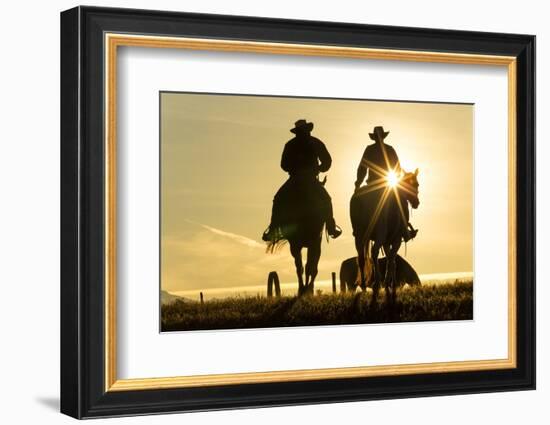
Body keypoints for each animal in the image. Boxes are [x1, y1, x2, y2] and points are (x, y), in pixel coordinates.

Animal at [352, 169, 420, 302]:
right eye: (416, 184)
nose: (416, 203)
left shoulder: (387, 242)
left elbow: (389, 259)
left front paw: (389, 283)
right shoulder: (395, 240)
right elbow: (392, 260)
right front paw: (390, 284)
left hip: (359, 235)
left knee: (361, 258)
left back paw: (364, 286)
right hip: (380, 234)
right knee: (374, 252)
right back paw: (376, 283)